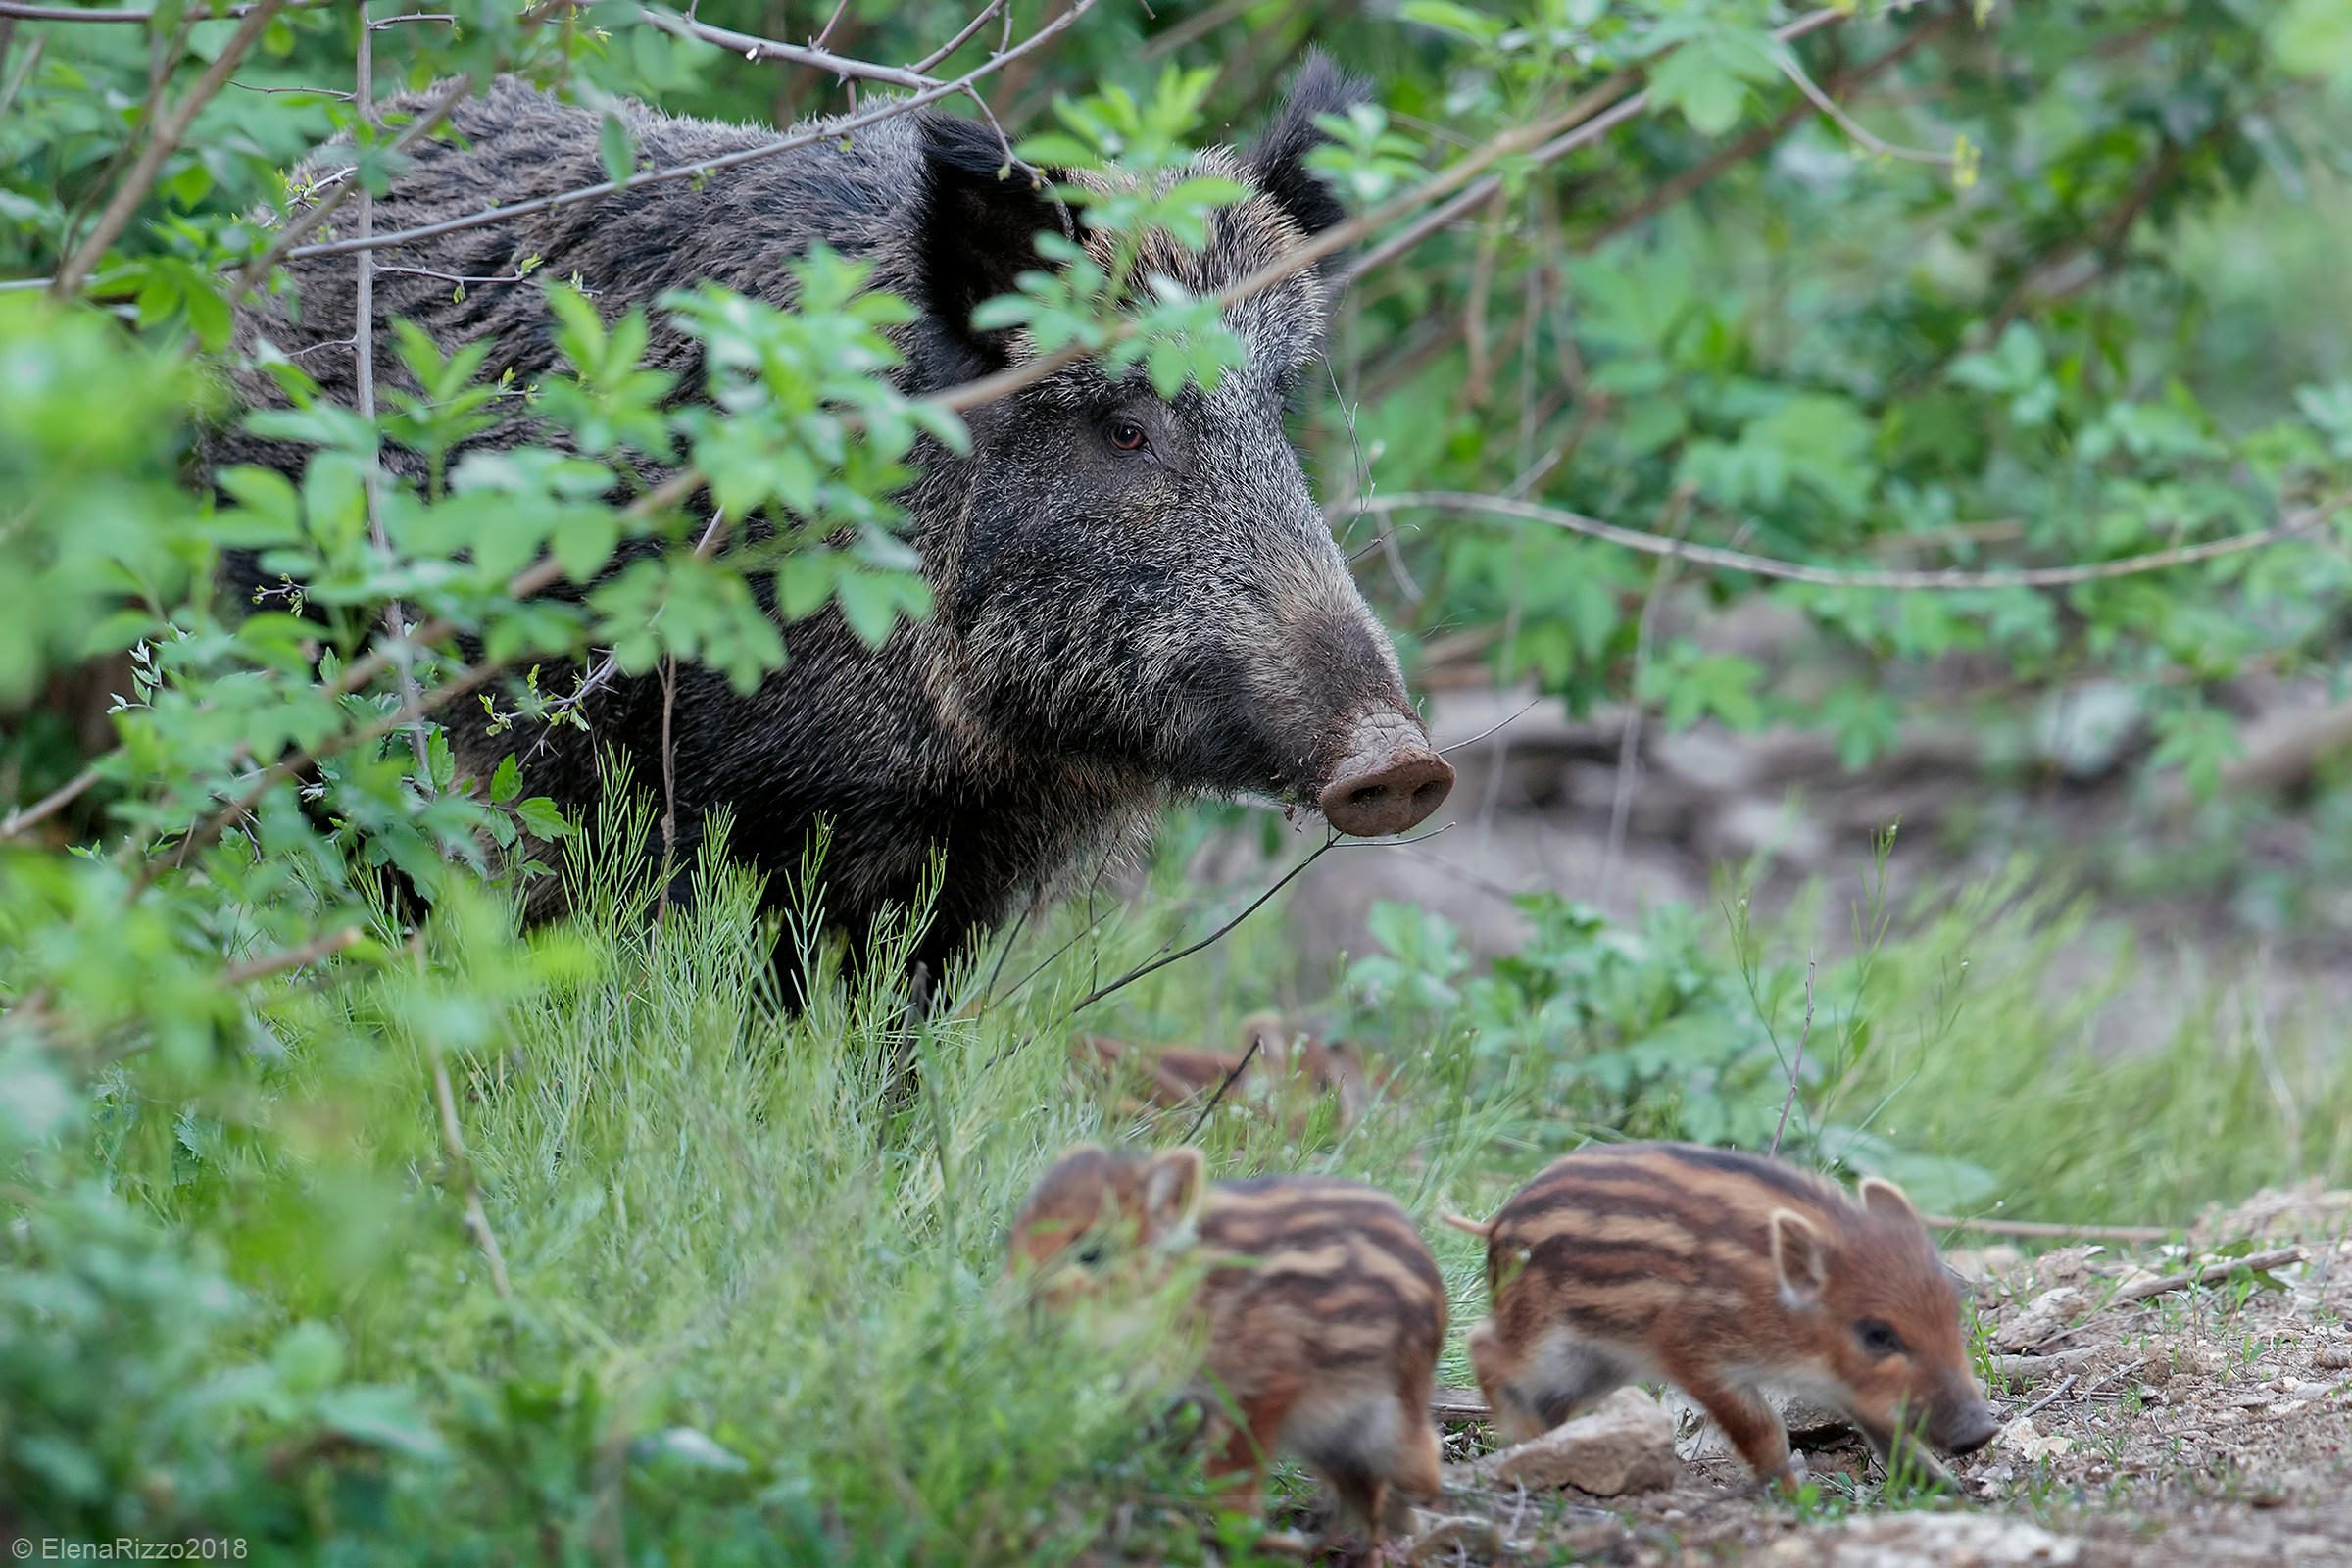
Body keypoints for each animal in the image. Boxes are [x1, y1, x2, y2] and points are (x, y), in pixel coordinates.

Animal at [1006, 1145, 1445, 1538]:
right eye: (1016, 1234)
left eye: (1093, 1254)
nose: (1013, 1307)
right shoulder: (1167, 1399)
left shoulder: (1262, 1385)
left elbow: (1234, 1474)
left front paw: (1239, 1532)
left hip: (1385, 1423)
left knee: (1425, 1455)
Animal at [1449, 1141, 1998, 1489]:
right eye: (1878, 1334)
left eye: (1952, 1308)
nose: (1981, 1431)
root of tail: (1497, 1224)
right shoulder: (1692, 1350)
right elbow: (1762, 1430)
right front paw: (1792, 1496)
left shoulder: (1851, 1385)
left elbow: (1891, 1432)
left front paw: (1946, 1490)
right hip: (1542, 1331)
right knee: (1485, 1347)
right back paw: (1519, 1446)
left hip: (1603, 1361)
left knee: (1555, 1402)